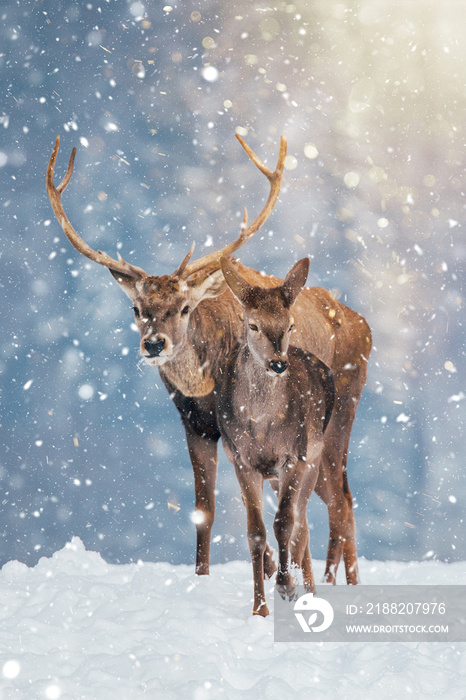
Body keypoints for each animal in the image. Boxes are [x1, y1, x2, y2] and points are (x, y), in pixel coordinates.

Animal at [217, 258, 334, 616]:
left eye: (291, 323)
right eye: (253, 325)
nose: (278, 363)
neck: (262, 426)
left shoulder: (294, 456)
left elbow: (284, 522)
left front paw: (285, 585)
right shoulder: (241, 460)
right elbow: (255, 532)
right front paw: (259, 608)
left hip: (314, 460)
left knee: (302, 525)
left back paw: (305, 591)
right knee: (301, 525)